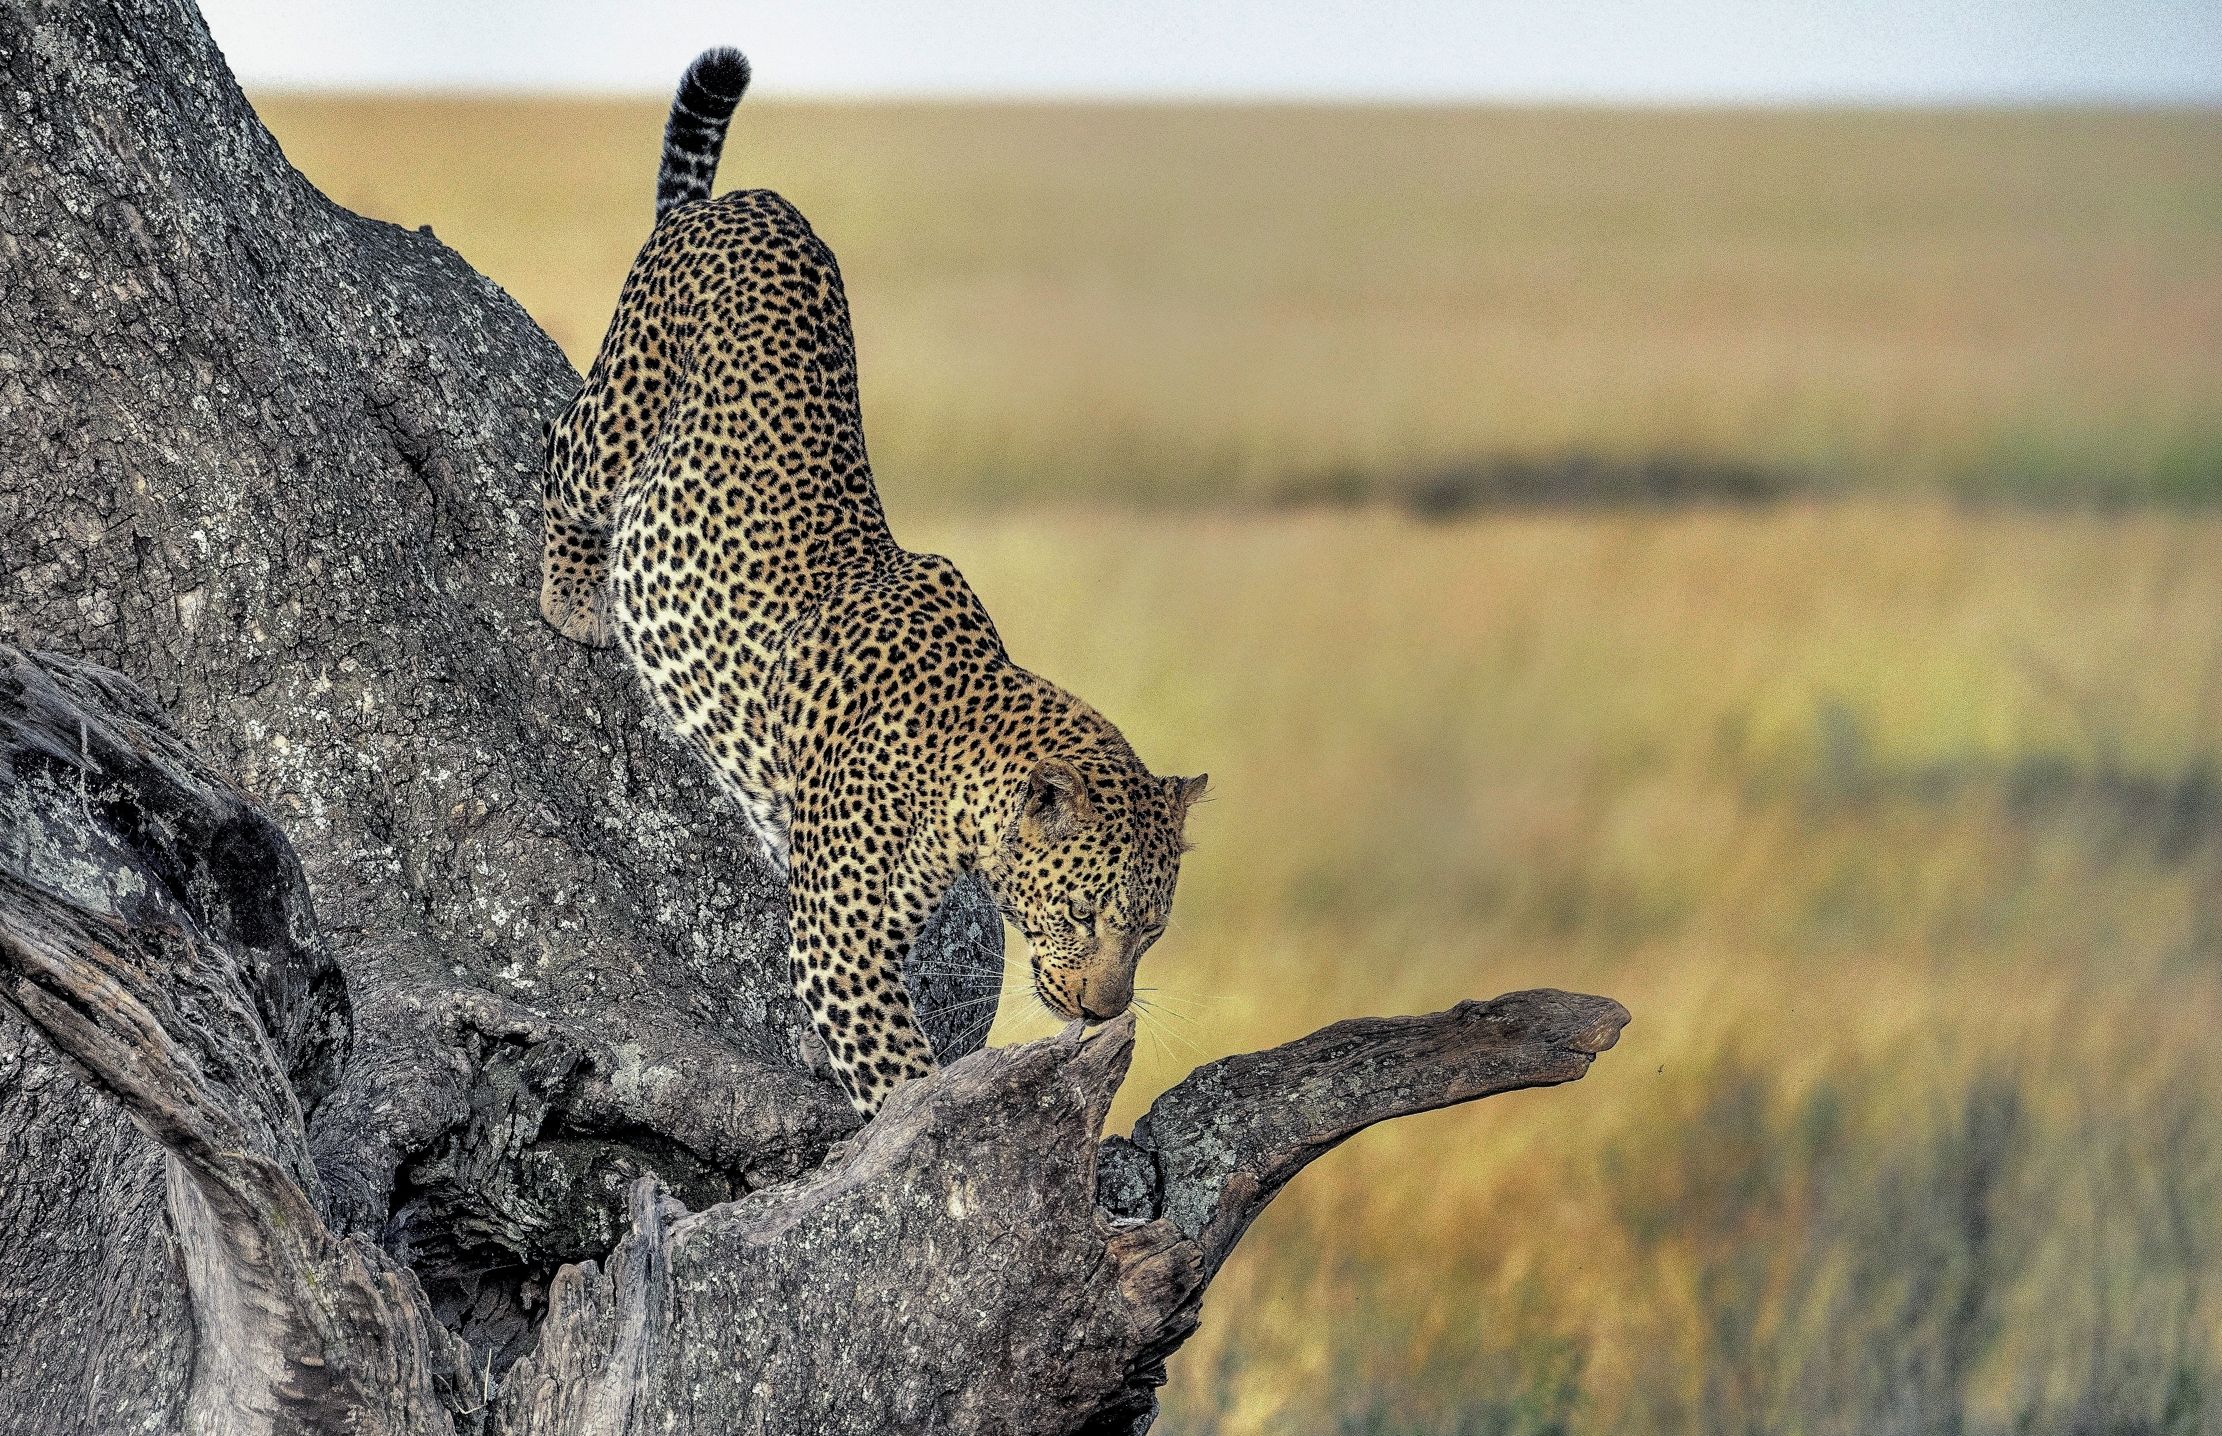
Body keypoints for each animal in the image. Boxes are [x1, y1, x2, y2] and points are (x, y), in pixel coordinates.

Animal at [538, 47, 1208, 1115]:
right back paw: (573, 599)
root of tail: (746, 200)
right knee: (558, 451)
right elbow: (901, 1079)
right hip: (620, 410)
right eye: (1083, 914)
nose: (1106, 1013)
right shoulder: (841, 943)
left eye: (1151, 929)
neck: (964, 763)